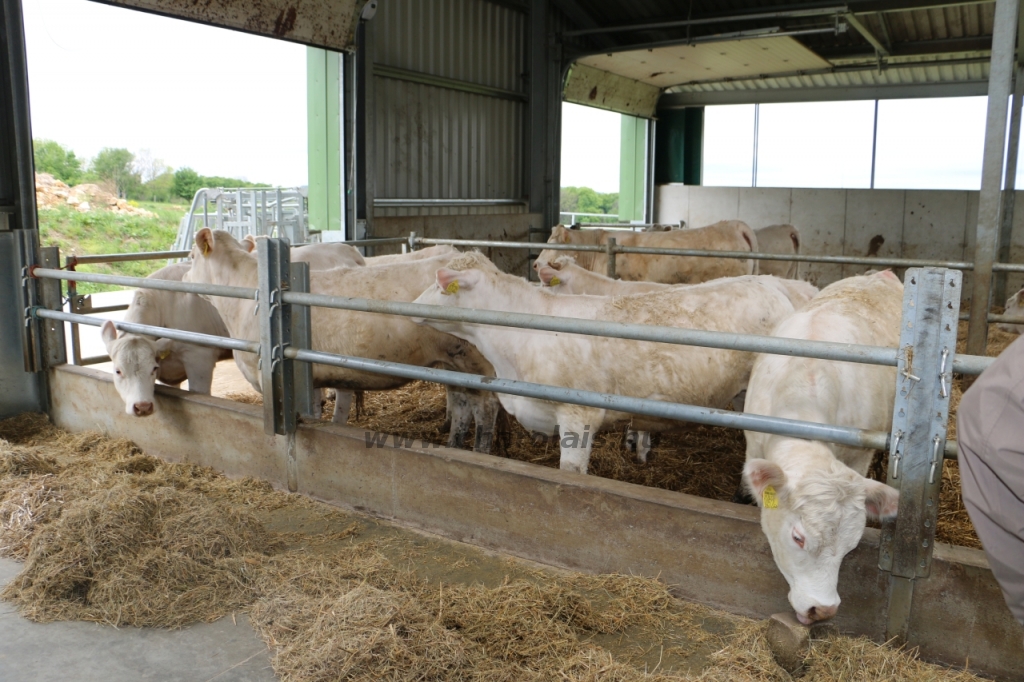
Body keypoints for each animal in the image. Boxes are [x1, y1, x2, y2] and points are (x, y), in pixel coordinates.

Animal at [189, 228, 503, 450]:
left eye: (191, 256)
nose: (186, 278)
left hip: (475, 360)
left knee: (486, 407)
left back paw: (480, 449)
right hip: (452, 362)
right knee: (462, 405)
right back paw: (454, 445)